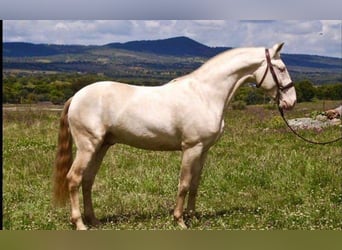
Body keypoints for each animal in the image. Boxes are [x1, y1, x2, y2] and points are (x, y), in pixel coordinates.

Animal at [52, 42, 296, 229]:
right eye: (281, 68)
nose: (291, 102)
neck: (205, 94)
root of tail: (76, 96)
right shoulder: (191, 147)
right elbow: (184, 183)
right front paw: (180, 220)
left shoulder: (203, 150)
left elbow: (196, 183)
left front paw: (193, 217)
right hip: (87, 146)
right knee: (74, 179)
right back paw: (80, 224)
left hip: (101, 146)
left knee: (88, 180)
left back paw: (94, 221)